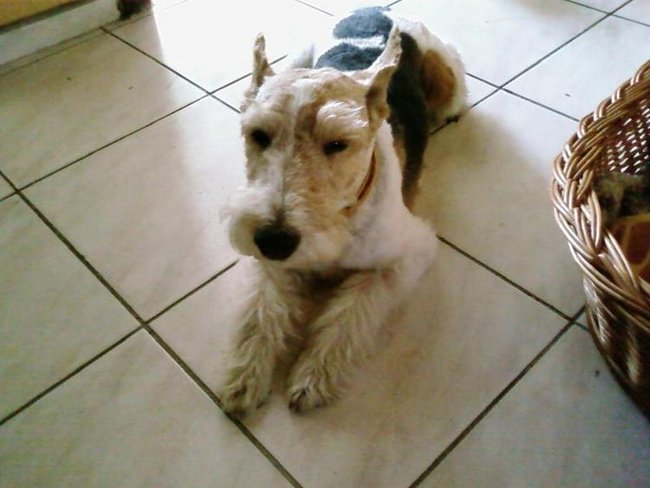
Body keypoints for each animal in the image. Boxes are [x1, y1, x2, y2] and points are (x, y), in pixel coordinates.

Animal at [220, 7, 467, 415]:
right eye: (259, 135)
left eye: (338, 143)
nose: (274, 240)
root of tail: (381, 10)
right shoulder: (269, 264)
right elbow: (262, 309)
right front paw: (245, 375)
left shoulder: (405, 256)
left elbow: (350, 312)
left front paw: (313, 376)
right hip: (302, 52)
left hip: (447, 79)